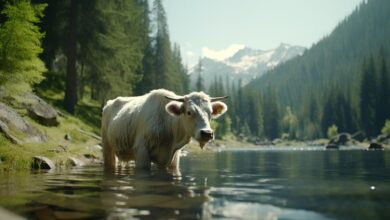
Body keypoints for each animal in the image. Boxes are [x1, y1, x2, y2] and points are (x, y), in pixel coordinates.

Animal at [101, 89, 229, 170]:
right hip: (107, 148)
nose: (207, 133)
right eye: (189, 112)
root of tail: (109, 103)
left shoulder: (173, 158)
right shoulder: (141, 151)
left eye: (211, 112)